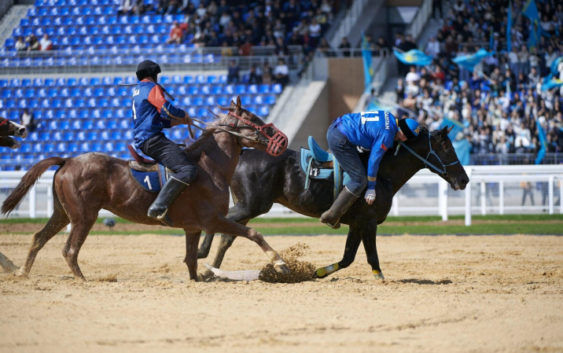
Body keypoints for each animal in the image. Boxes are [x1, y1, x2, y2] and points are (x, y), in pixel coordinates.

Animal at [1, 98, 290, 280]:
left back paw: (22, 272)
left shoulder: (193, 227)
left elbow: (191, 260)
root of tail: (68, 160)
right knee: (69, 250)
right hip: (84, 217)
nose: (283, 140)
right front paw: (279, 262)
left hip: (62, 213)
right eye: (254, 119)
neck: (210, 167)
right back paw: (82, 280)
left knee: (38, 238)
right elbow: (253, 233)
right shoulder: (214, 220)